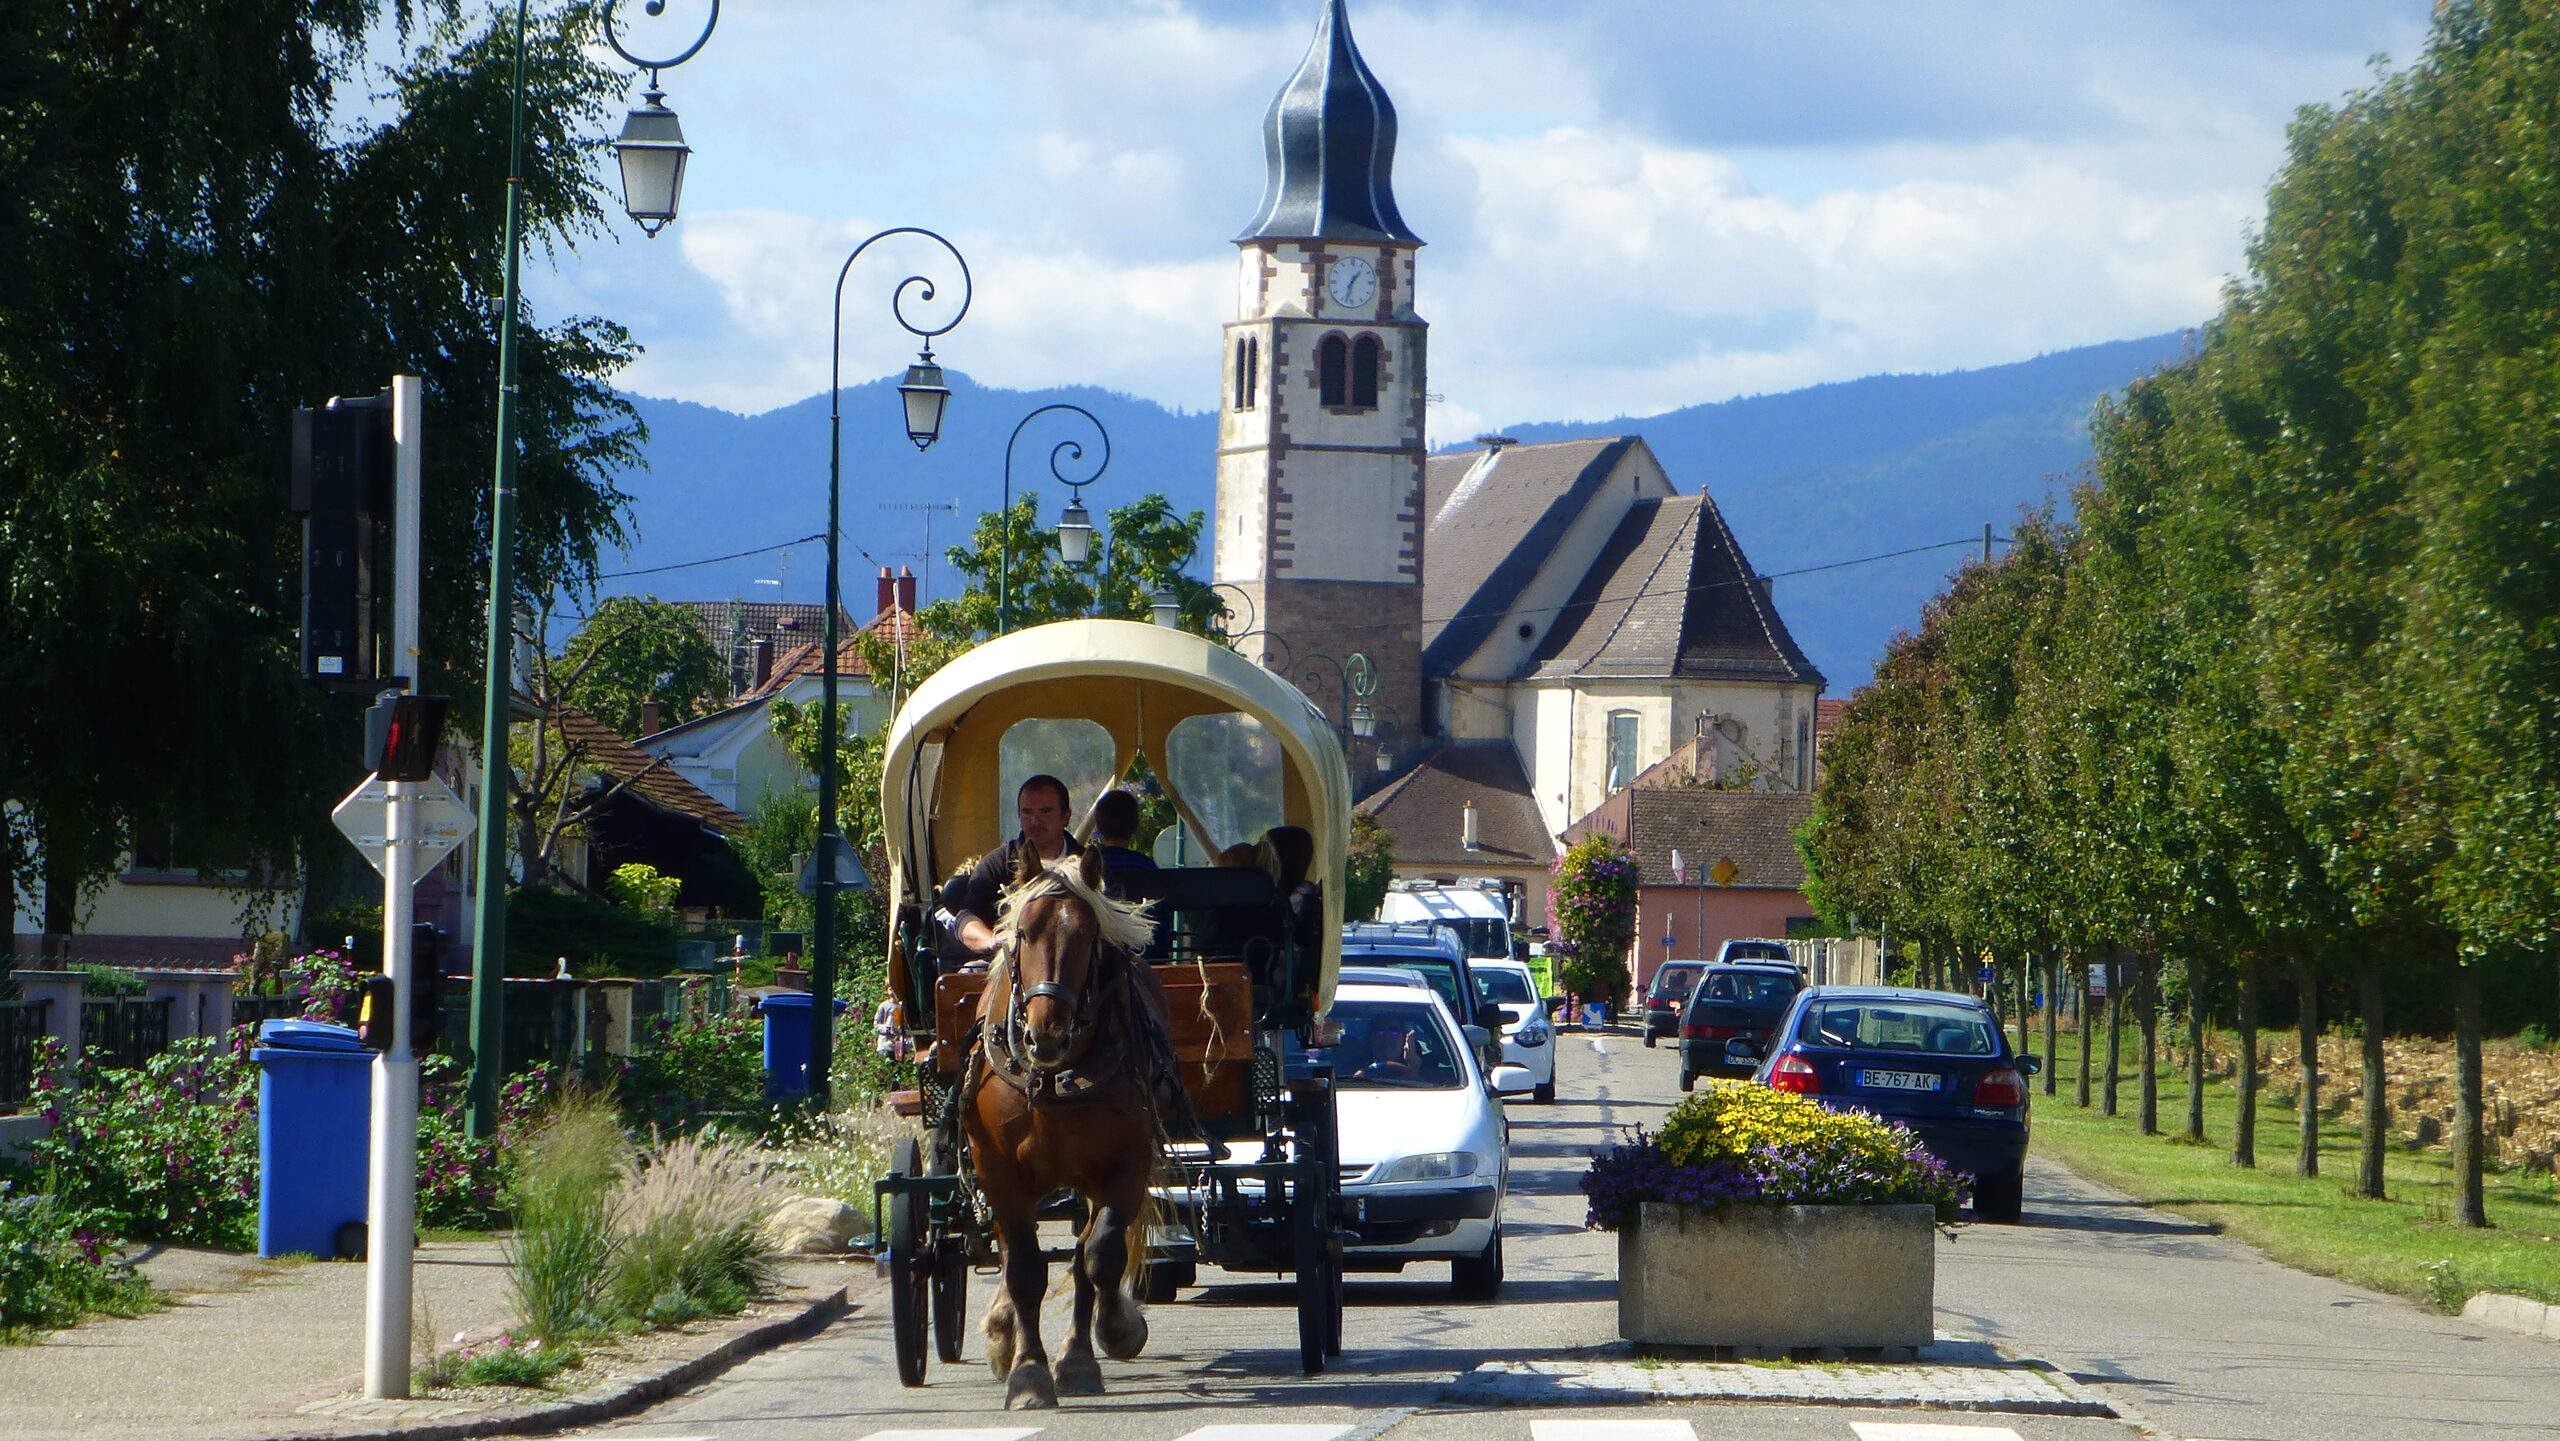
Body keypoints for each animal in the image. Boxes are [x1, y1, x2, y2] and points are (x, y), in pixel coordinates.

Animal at [962, 844, 1162, 1412]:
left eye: (1088, 936)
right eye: (1022, 934)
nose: (1046, 1033)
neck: (1053, 1078)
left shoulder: (1124, 1168)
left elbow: (1099, 1258)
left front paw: (1109, 1335)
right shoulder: (998, 1173)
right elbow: (1026, 1269)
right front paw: (1029, 1372)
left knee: (1083, 1256)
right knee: (1015, 1253)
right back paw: (1003, 1332)